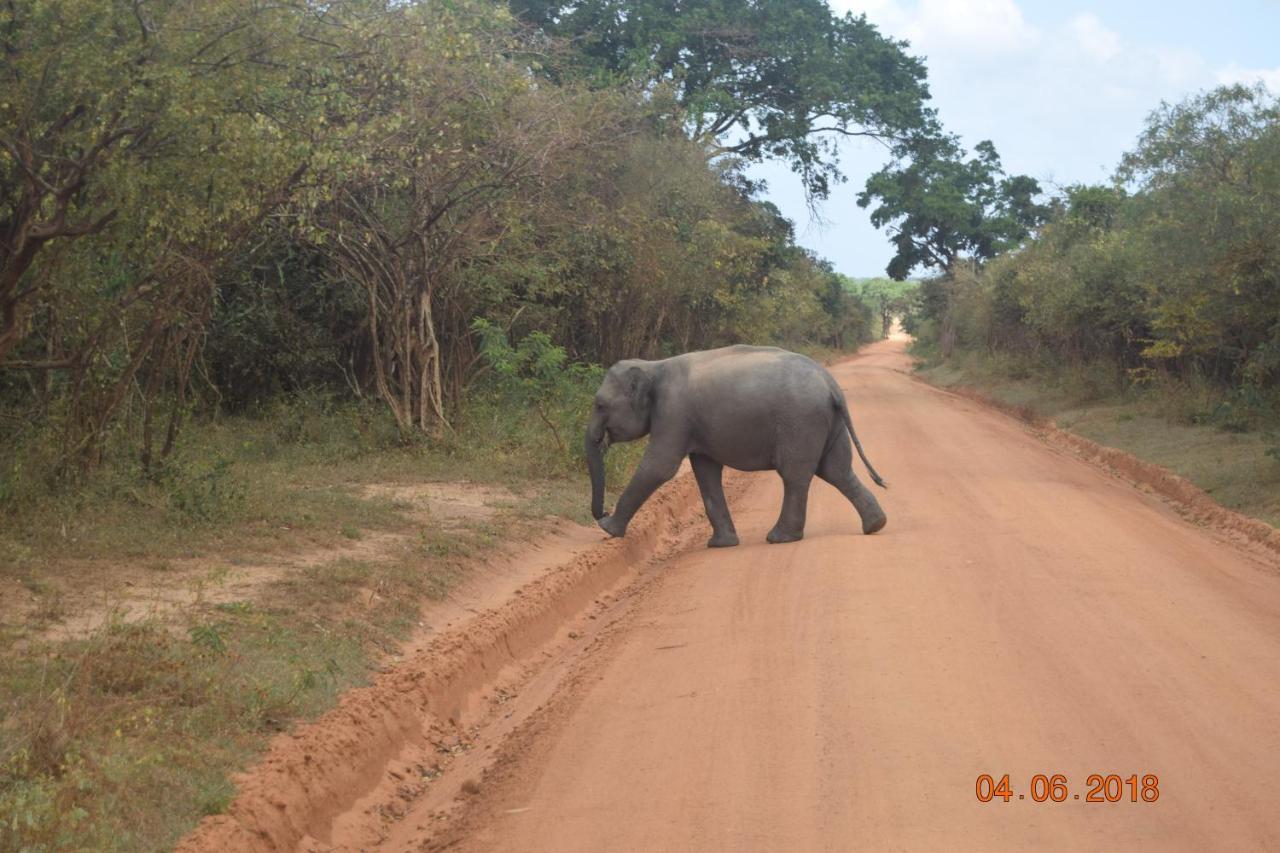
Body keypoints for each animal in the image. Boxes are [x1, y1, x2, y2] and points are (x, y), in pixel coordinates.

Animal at [586, 343, 885, 548]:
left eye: (599, 405)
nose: (603, 511)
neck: (654, 366)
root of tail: (830, 382)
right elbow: (705, 472)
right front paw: (720, 545)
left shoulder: (673, 413)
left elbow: (659, 466)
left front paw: (608, 529)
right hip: (828, 422)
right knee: (837, 471)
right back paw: (875, 525)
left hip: (801, 421)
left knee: (796, 476)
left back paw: (780, 538)